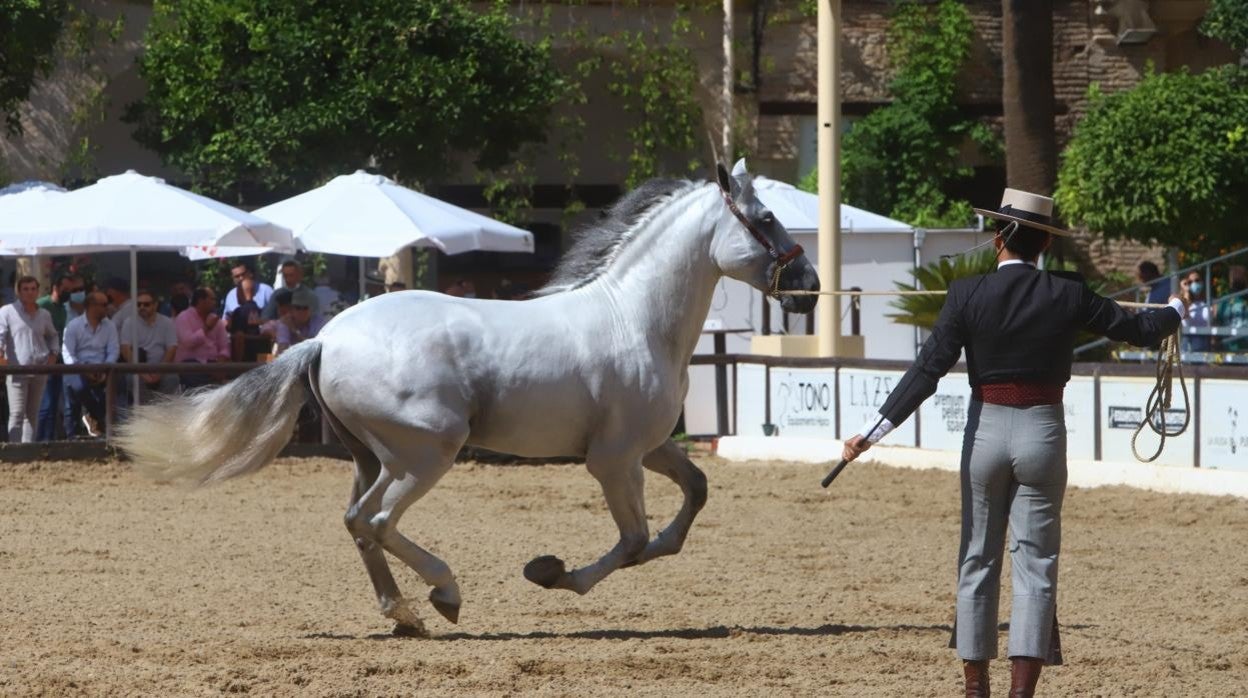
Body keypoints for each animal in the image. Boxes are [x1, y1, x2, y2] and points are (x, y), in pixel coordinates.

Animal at [117, 161, 818, 636]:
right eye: (764, 219)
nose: (809, 285)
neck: (635, 320)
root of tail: (324, 338)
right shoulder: (613, 460)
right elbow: (634, 539)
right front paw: (551, 573)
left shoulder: (648, 448)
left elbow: (691, 498)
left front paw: (571, 568)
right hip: (425, 453)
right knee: (377, 521)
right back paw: (444, 595)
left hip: (373, 458)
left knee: (357, 521)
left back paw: (404, 613)